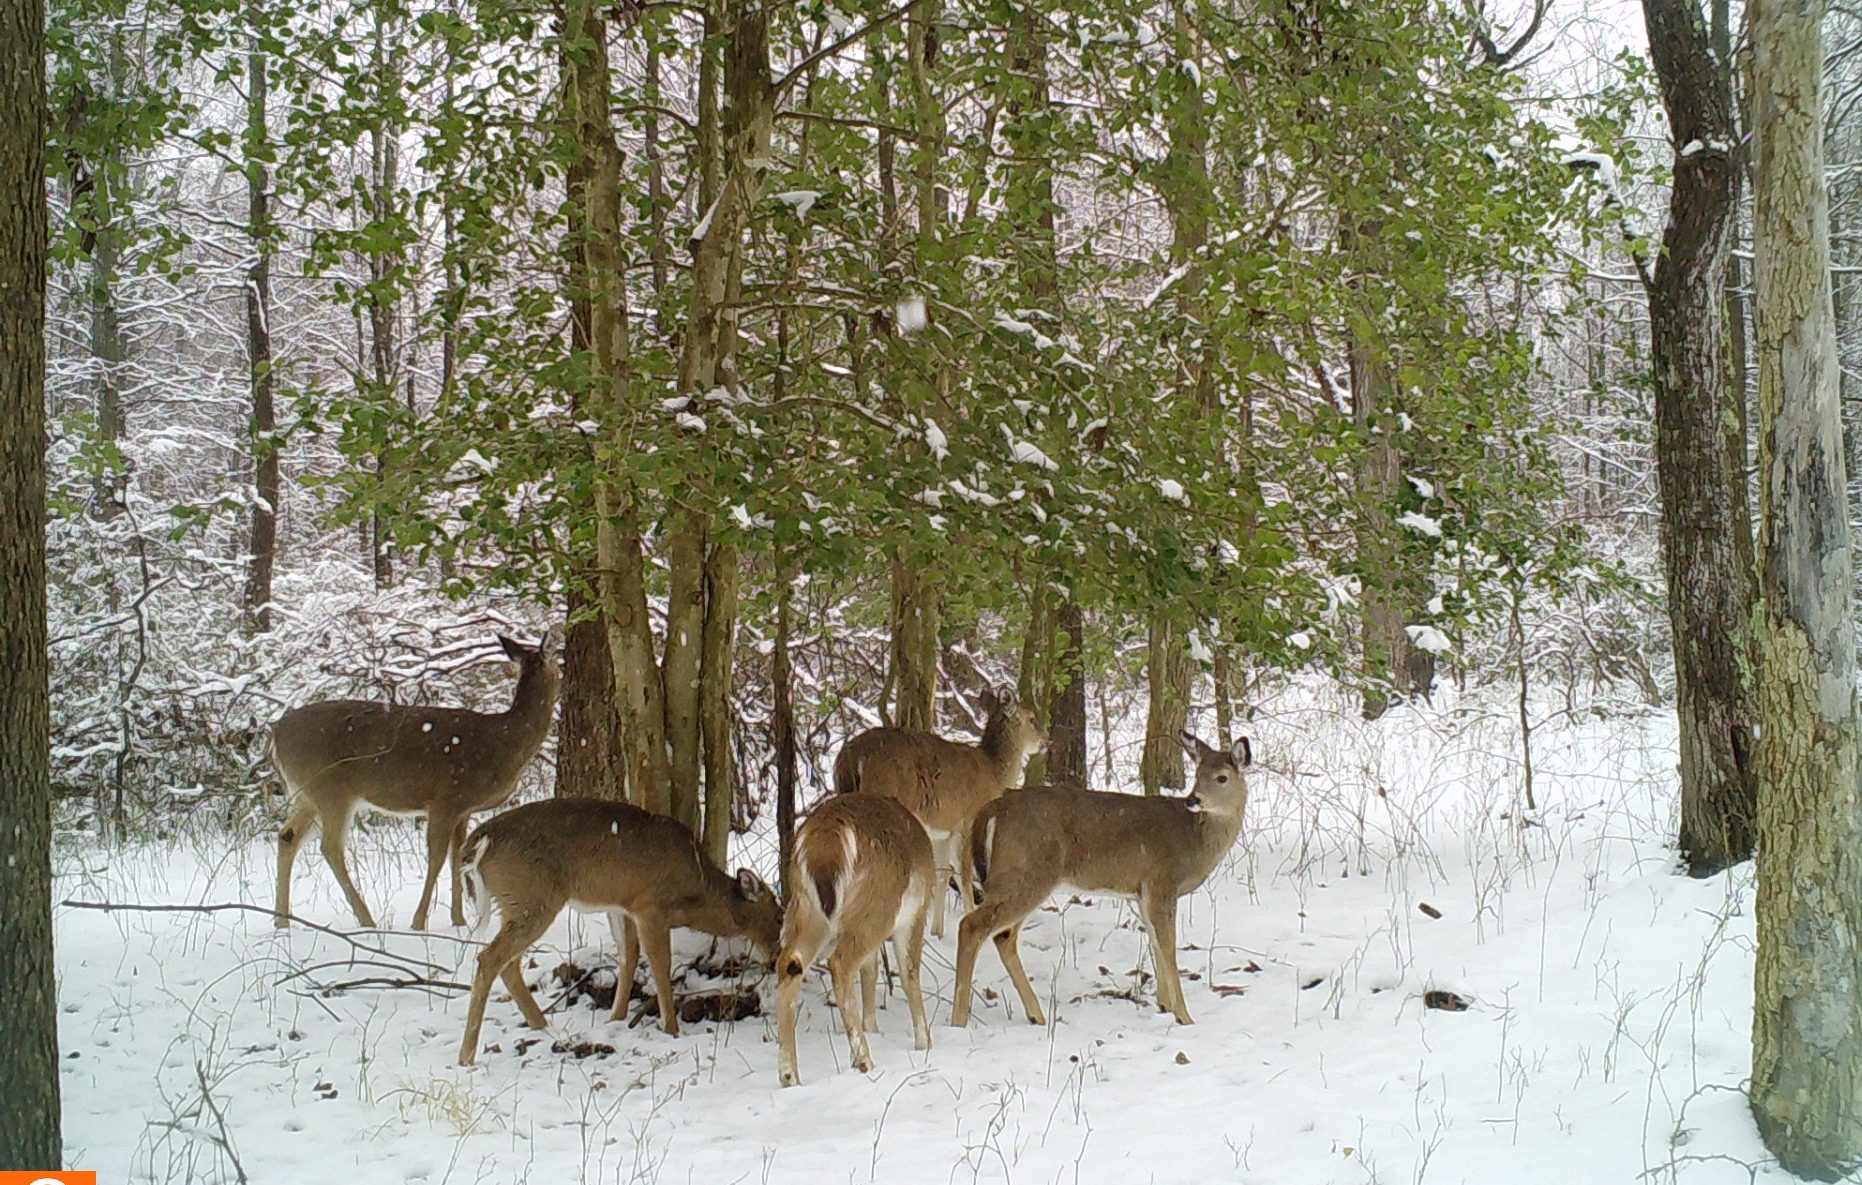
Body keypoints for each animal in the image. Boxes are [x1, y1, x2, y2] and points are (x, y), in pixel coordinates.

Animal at [271, 629, 558, 935]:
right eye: (560, 663)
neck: (506, 742)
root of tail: (275, 734)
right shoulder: (446, 798)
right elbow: (437, 857)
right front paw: (419, 922)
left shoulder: (463, 808)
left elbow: (458, 857)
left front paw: (459, 920)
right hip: (330, 789)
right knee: (330, 847)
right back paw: (367, 920)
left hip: (307, 794)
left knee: (287, 836)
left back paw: (281, 921)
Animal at [454, 797, 782, 1065]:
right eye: (779, 917)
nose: (776, 957)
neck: (696, 889)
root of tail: (480, 841)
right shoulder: (650, 906)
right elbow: (660, 964)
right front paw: (672, 1029)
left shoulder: (622, 905)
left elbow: (629, 955)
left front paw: (616, 1018)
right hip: (532, 898)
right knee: (489, 959)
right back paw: (467, 1056)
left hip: (517, 903)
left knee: (508, 964)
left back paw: (544, 1028)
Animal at [778, 790, 938, 1088]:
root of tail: (826, 840)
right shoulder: (915, 914)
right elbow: (909, 972)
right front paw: (925, 1043)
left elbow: (870, 972)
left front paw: (872, 1027)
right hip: (876, 906)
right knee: (840, 963)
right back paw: (864, 1060)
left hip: (807, 909)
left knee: (789, 964)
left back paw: (789, 1075)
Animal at [834, 685, 1050, 935]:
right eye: (1032, 718)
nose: (1047, 740)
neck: (995, 773)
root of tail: (853, 758)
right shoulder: (967, 822)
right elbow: (964, 876)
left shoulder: (941, 831)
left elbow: (942, 874)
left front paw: (937, 931)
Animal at [960, 730, 1251, 1028]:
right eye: (1198, 774)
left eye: (1221, 777)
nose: (1194, 799)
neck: (1196, 839)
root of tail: (992, 809)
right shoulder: (1162, 880)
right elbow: (1168, 947)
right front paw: (1184, 1015)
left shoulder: (1143, 892)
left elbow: (1155, 943)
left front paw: (1164, 1005)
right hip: (1024, 872)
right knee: (972, 926)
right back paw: (959, 1019)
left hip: (1022, 877)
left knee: (1003, 937)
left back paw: (1036, 1015)